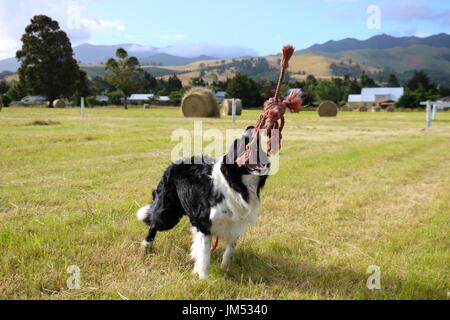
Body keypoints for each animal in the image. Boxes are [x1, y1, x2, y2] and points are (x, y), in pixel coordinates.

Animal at [137, 126, 268, 278]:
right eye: (238, 142)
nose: (251, 127)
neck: (235, 184)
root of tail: (173, 164)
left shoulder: (235, 222)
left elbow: (230, 248)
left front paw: (225, 267)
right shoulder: (204, 222)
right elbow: (205, 253)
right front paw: (203, 277)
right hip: (168, 215)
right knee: (153, 222)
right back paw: (146, 246)